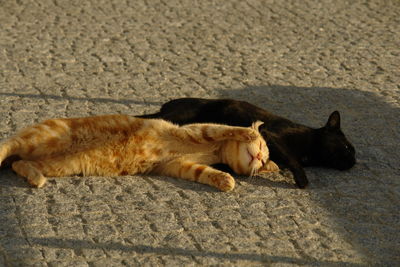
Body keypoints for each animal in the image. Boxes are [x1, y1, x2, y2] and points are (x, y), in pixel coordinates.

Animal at [0, 116, 278, 192]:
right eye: (262, 148)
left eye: (264, 159)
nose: (259, 158)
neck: (210, 152)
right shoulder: (198, 132)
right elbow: (227, 129)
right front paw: (247, 133)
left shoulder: (179, 166)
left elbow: (206, 173)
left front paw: (225, 180)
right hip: (38, 139)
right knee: (7, 146)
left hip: (56, 165)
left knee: (18, 164)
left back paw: (35, 178)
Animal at [138, 98, 356, 188]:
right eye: (348, 148)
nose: (354, 162)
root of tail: (166, 104)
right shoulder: (270, 134)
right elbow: (292, 159)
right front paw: (302, 180)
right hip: (178, 116)